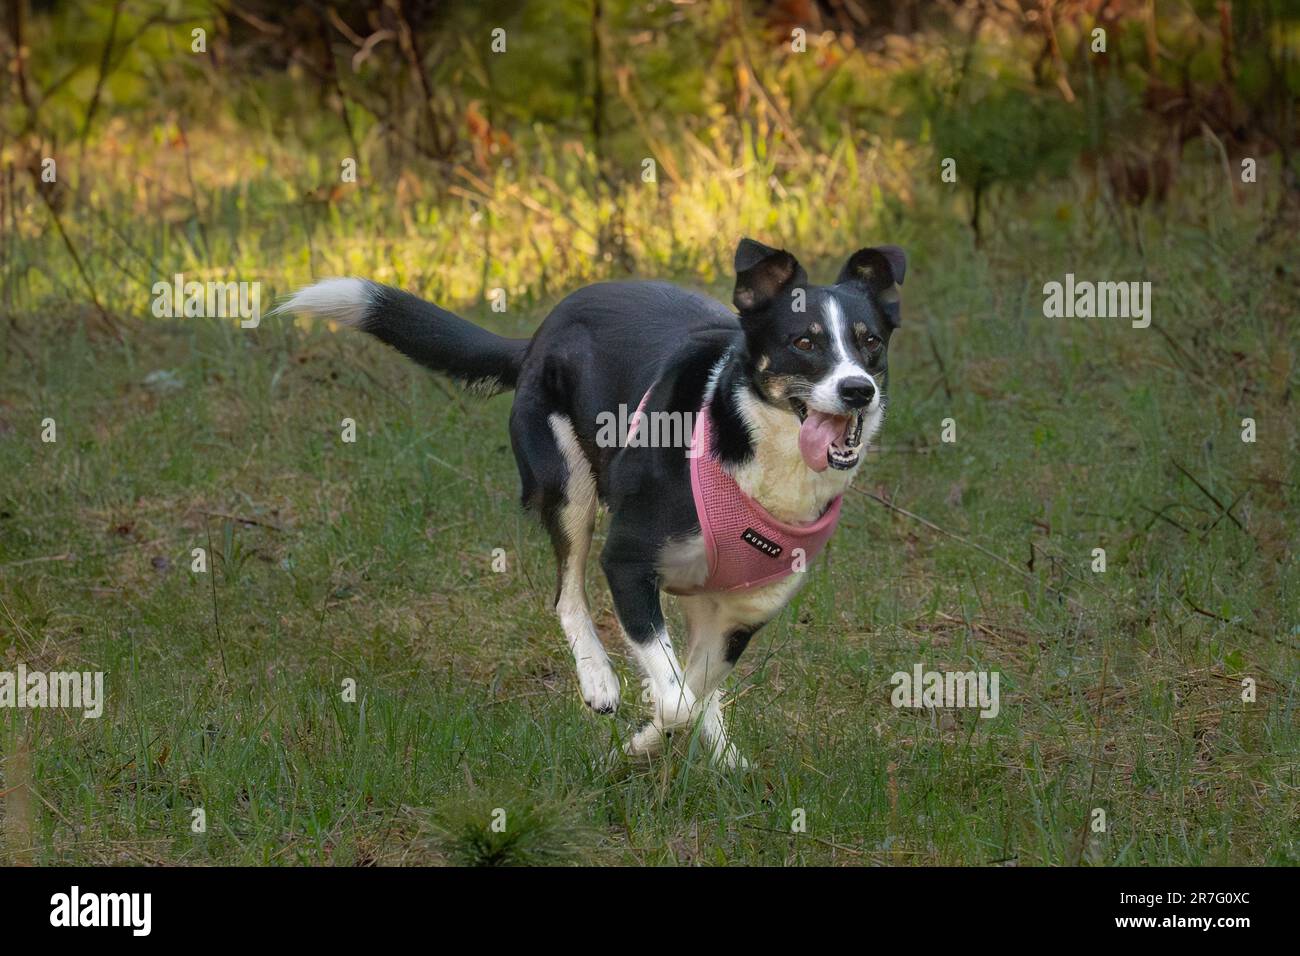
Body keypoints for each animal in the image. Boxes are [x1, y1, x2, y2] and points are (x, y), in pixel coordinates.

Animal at [282, 240, 904, 770]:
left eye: (870, 341)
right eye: (804, 342)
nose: (858, 390)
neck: (756, 449)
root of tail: (543, 328)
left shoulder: (742, 613)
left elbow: (694, 691)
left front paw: (672, 741)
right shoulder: (627, 564)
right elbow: (675, 700)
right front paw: (637, 742)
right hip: (566, 482)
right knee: (566, 592)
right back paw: (599, 679)